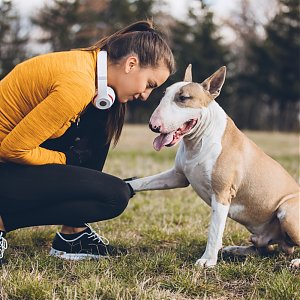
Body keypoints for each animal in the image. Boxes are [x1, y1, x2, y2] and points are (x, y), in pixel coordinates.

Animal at [128, 65, 300, 268]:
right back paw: (237, 250)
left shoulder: (221, 194)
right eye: (164, 94)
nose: (153, 126)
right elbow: (144, 182)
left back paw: (295, 262)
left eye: (183, 98)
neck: (198, 140)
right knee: (264, 249)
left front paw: (208, 260)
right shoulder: (178, 176)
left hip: (287, 210)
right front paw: (125, 185)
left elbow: (214, 230)